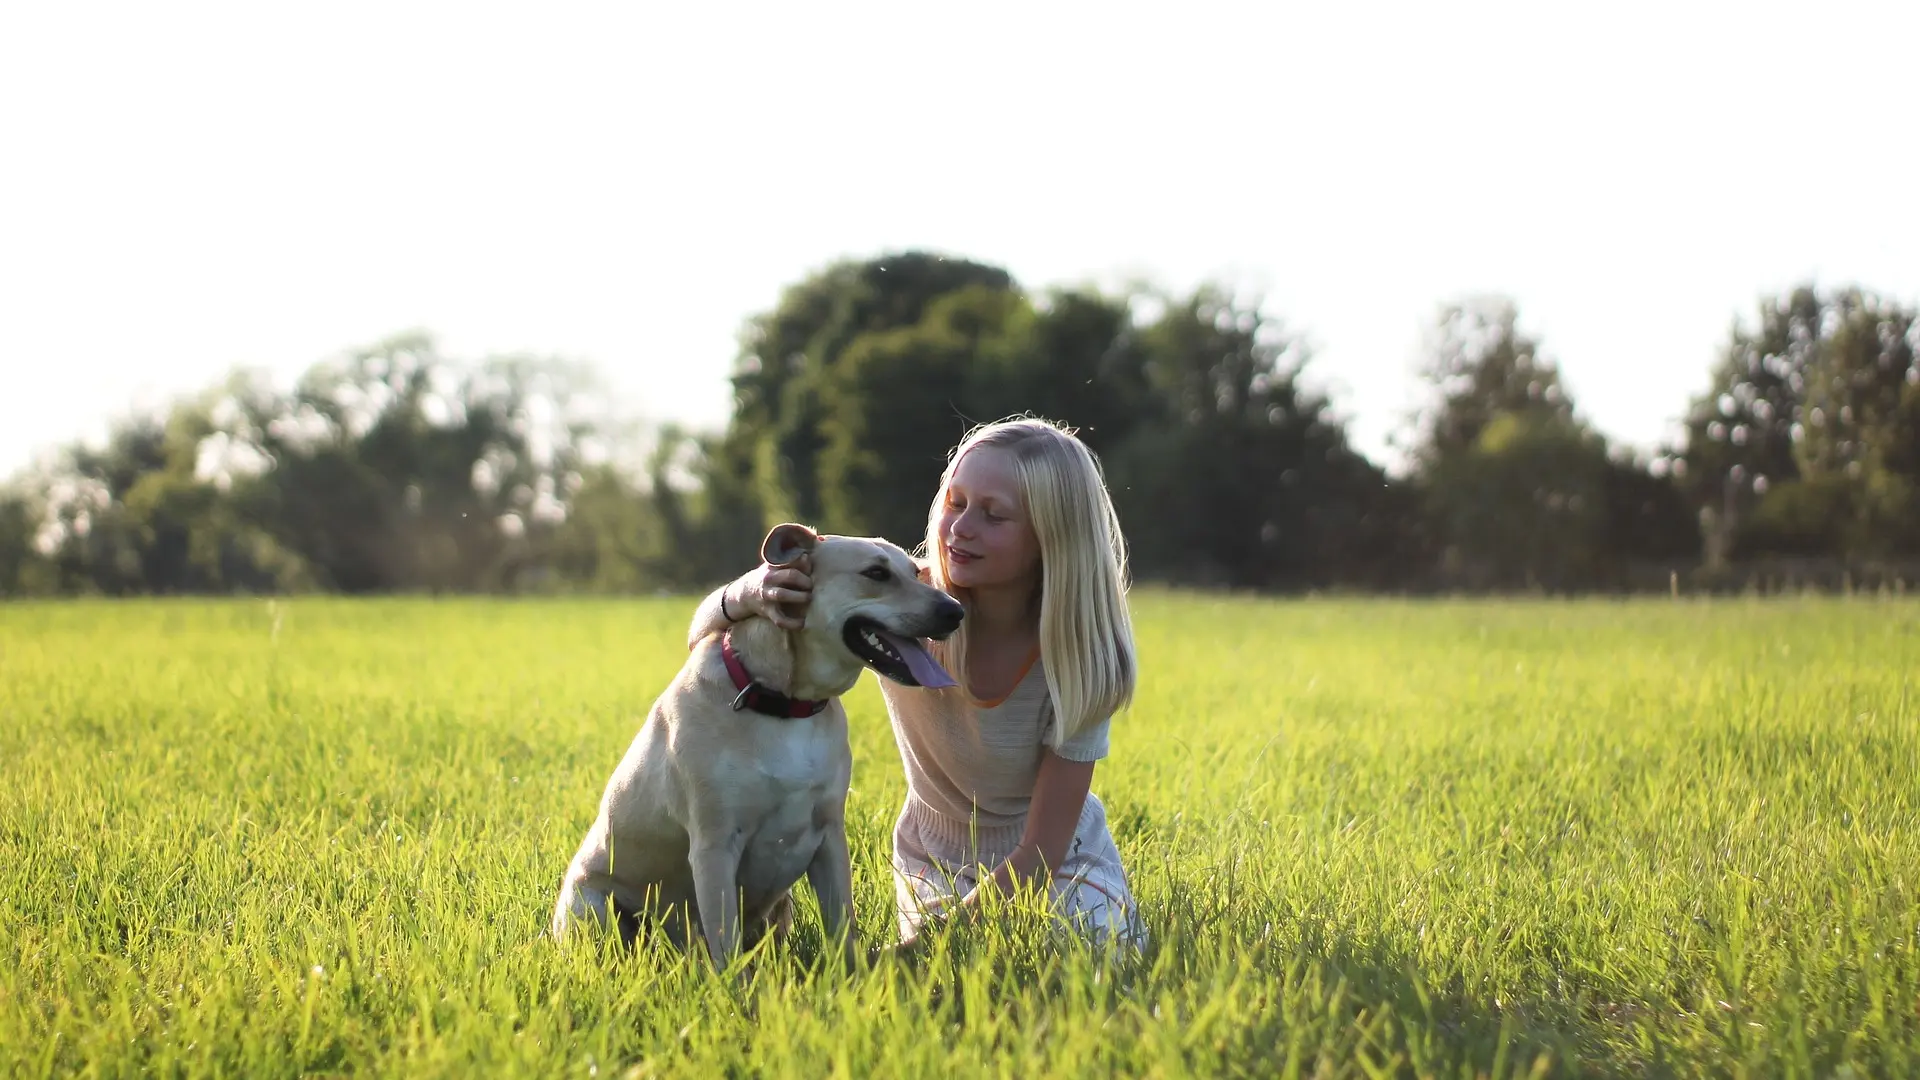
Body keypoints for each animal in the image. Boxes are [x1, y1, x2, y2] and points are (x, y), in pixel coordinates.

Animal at [552, 518, 967, 960]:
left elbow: (842, 927)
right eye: (875, 573)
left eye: (916, 572)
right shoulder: (714, 846)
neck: (785, 704)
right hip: (594, 907)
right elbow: (727, 948)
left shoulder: (830, 836)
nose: (956, 611)